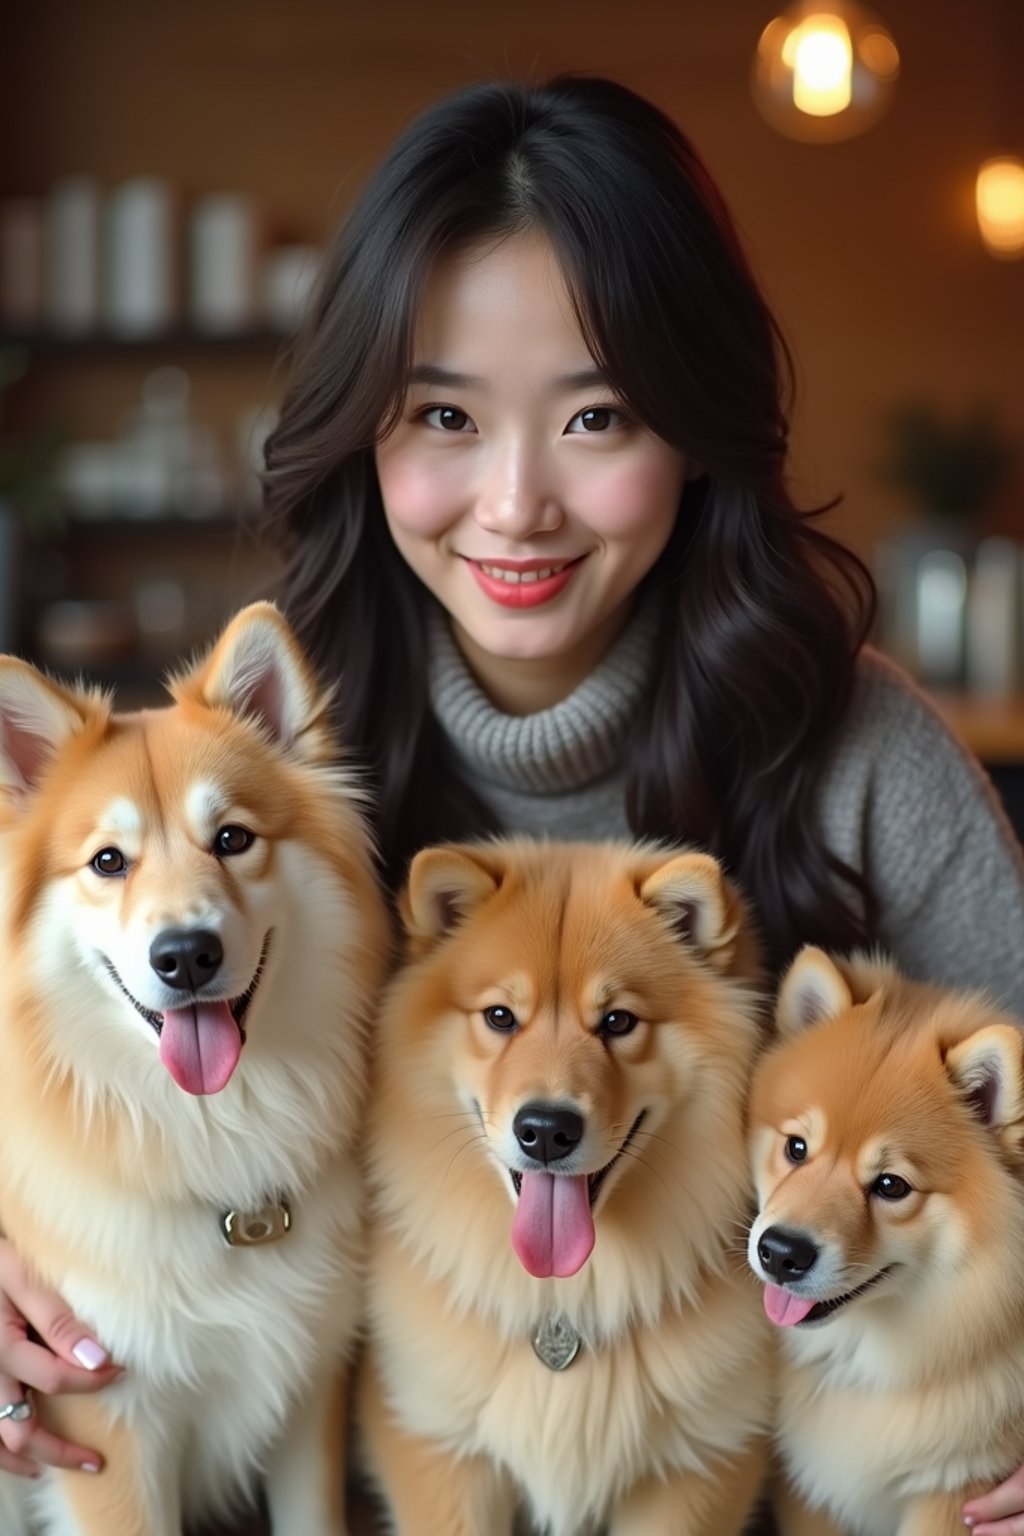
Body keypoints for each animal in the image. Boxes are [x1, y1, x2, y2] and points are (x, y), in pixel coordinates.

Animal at [359, 841, 767, 1536]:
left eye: (618, 1021)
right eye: (500, 1017)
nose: (547, 1130)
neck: (565, 1300)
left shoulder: (698, 1464)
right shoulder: (440, 1447)